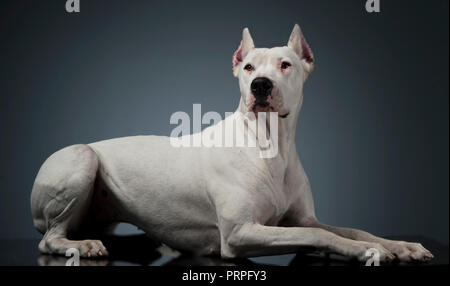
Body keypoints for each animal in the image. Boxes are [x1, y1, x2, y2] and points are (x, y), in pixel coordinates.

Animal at [30, 24, 432, 264]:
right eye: (249, 67)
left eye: (285, 65)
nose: (261, 86)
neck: (270, 146)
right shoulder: (240, 234)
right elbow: (316, 234)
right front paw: (368, 250)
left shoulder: (299, 217)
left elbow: (342, 228)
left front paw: (400, 245)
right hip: (82, 158)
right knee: (49, 238)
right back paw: (80, 246)